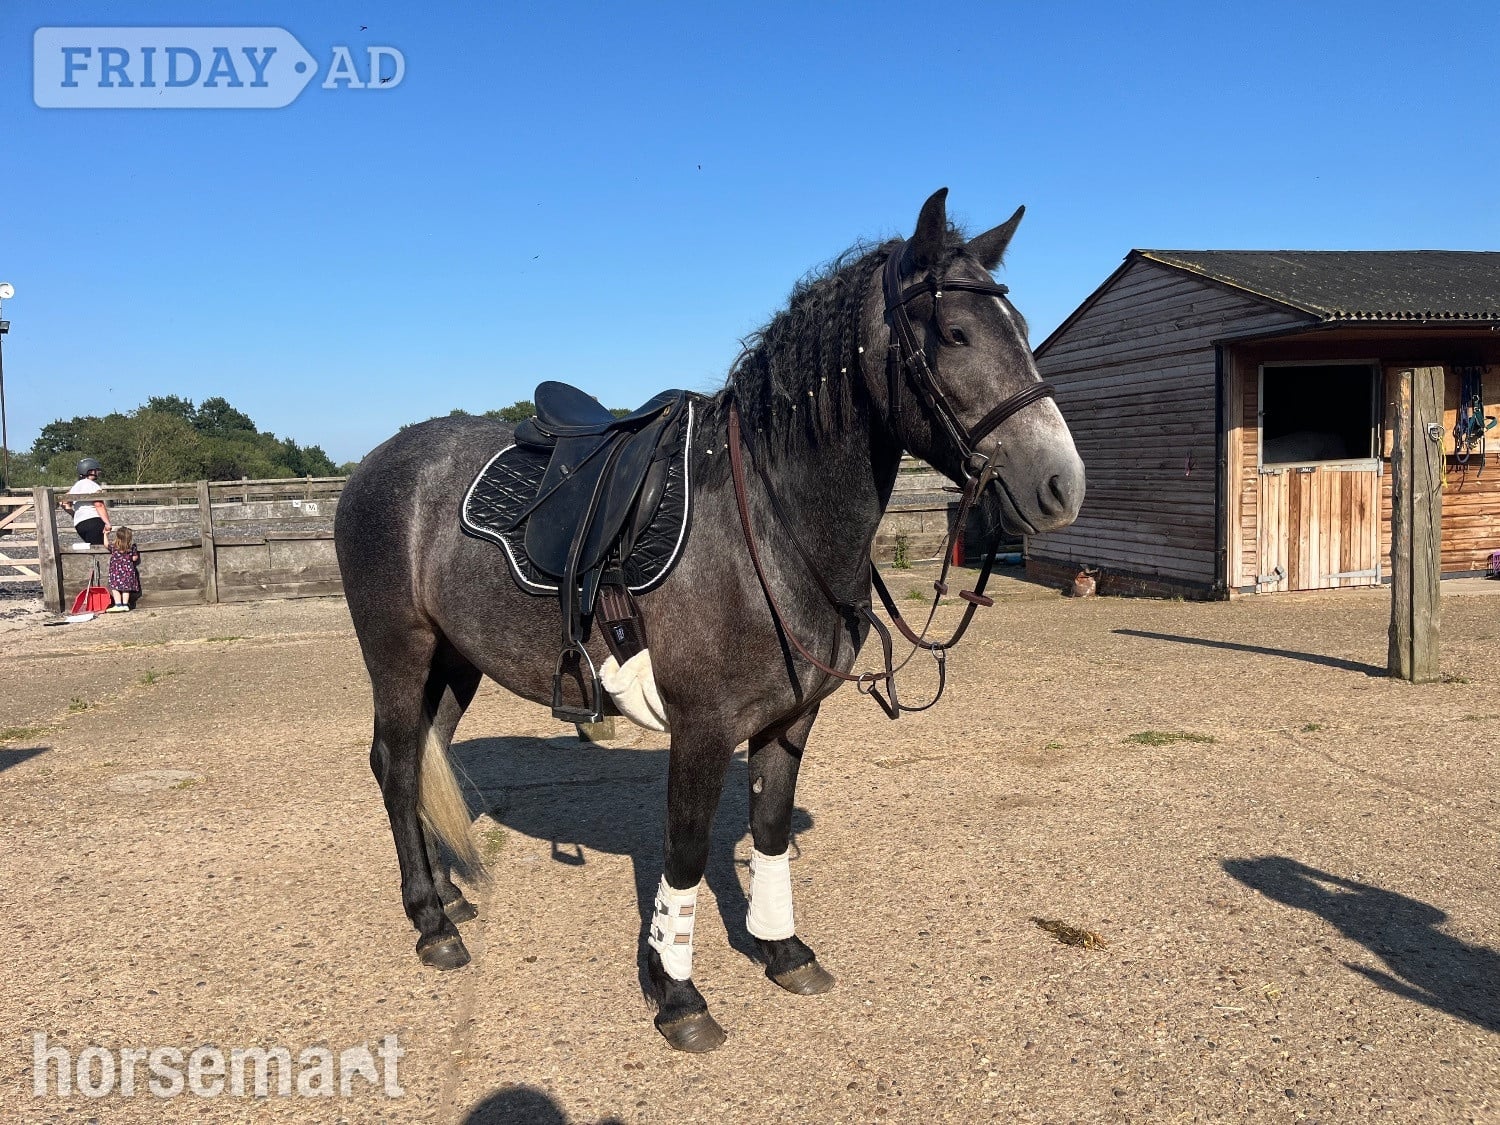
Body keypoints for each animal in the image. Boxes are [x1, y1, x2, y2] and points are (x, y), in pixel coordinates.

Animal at [334, 188, 1086, 1052]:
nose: (1063, 484)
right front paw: (678, 992)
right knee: (394, 763)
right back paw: (432, 922)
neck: (769, 522)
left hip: (455, 661)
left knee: (430, 751)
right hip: (399, 652)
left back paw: (450, 896)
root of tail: (375, 465)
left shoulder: (789, 719)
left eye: (1023, 327)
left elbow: (770, 828)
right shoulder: (701, 727)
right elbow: (688, 850)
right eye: (956, 334)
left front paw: (783, 949)